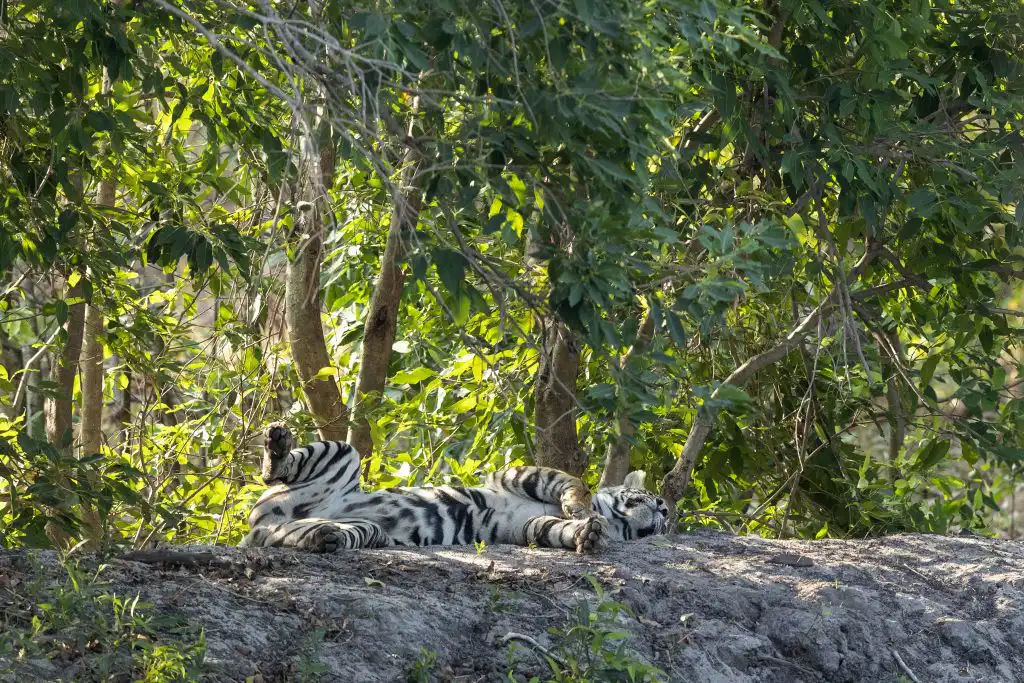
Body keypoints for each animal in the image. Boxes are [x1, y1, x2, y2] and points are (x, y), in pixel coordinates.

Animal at [240, 422, 670, 554]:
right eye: (652, 496)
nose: (665, 509)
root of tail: (261, 522)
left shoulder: (523, 528)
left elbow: (553, 528)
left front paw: (589, 535)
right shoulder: (515, 475)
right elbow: (571, 482)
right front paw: (581, 510)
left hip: (358, 528)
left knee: (295, 536)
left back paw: (322, 538)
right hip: (343, 455)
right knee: (277, 469)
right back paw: (277, 442)